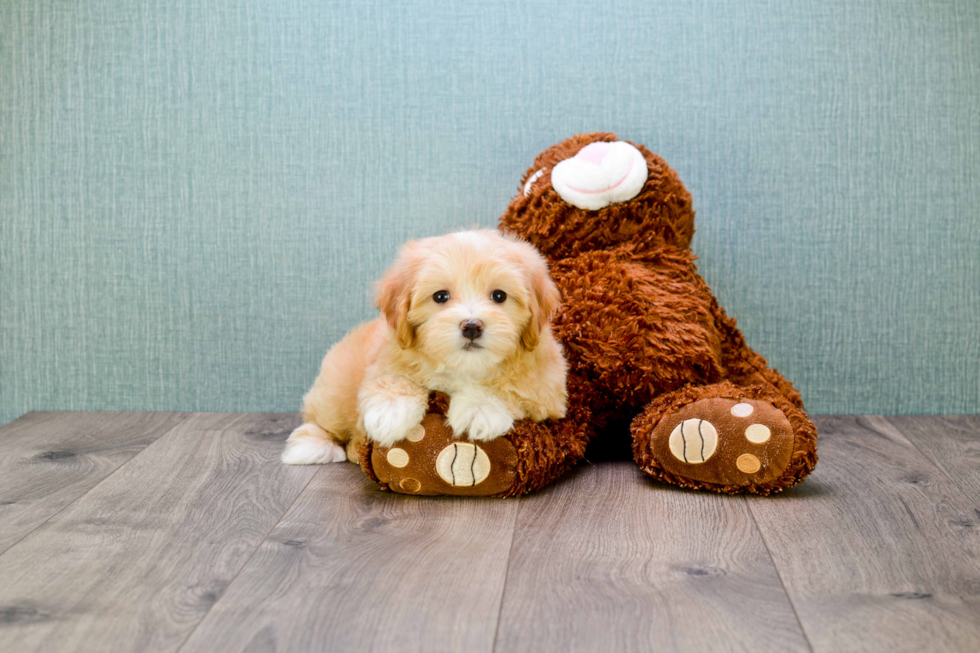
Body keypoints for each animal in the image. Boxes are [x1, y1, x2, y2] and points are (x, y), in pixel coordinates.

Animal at [280, 229, 568, 464]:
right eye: (440, 296)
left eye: (499, 296)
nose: (472, 326)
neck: (463, 368)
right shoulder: (387, 353)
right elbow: (394, 377)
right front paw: (390, 411)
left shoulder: (548, 391)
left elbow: (511, 388)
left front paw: (478, 409)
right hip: (335, 387)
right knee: (322, 419)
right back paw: (314, 445)